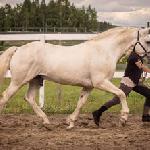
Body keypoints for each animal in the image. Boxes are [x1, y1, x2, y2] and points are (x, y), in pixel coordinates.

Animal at [0, 27, 149, 129]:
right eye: (148, 40)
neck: (104, 51)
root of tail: (18, 49)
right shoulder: (101, 82)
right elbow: (121, 93)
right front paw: (123, 118)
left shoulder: (89, 86)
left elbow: (81, 103)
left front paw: (70, 122)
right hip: (18, 81)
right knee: (5, 96)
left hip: (36, 80)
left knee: (29, 97)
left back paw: (46, 122)